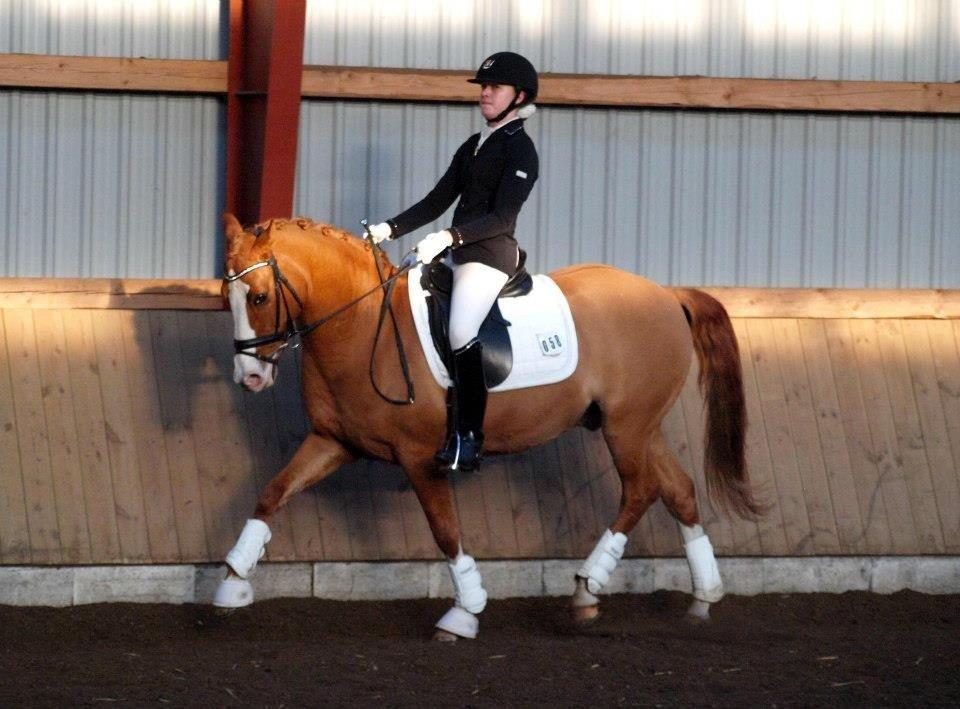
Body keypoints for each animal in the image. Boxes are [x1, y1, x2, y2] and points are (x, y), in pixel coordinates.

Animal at [215, 212, 761, 640]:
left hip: (626, 429)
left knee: (641, 489)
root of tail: (668, 295)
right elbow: (273, 492)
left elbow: (445, 531)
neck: (364, 323)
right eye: (226, 297)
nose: (251, 377)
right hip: (643, 427)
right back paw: (703, 596)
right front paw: (232, 581)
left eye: (258, 297)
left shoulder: (420, 457)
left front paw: (464, 612)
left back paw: (587, 588)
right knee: (679, 490)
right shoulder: (333, 441)